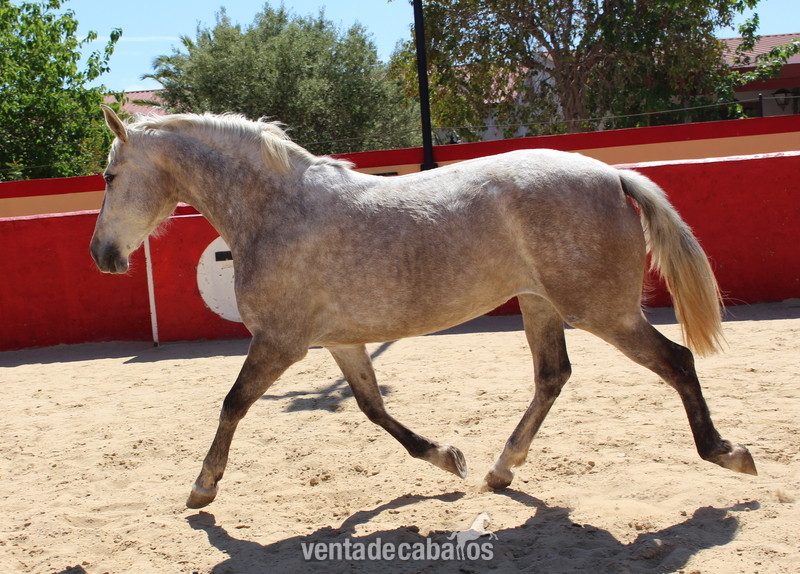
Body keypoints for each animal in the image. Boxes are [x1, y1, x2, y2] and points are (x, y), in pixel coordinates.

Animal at [91, 105, 757, 510]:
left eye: (109, 176)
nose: (102, 255)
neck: (276, 211)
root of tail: (612, 174)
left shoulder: (279, 343)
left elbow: (233, 403)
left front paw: (202, 487)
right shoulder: (340, 341)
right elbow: (373, 409)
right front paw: (446, 459)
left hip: (603, 311)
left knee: (675, 362)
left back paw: (728, 454)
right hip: (540, 303)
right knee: (552, 376)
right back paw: (499, 469)